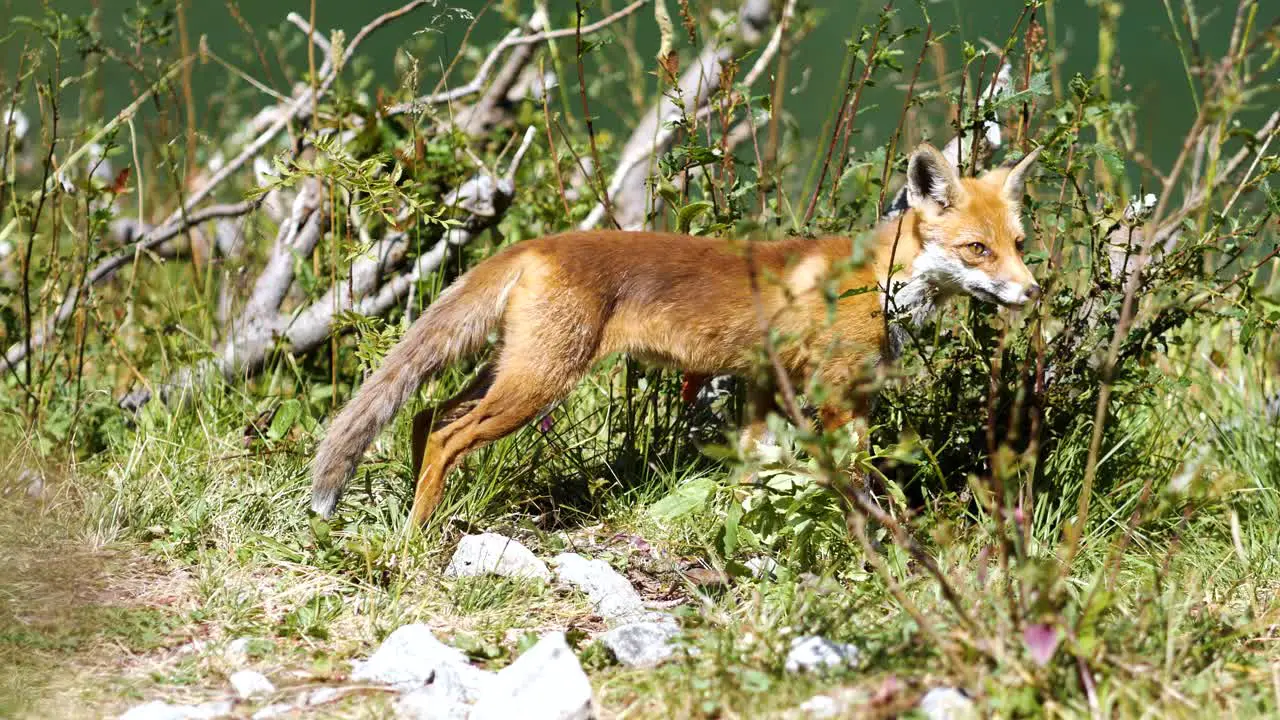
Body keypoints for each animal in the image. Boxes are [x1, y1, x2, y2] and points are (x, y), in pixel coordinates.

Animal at [307, 141, 1039, 520]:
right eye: (977, 249)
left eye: (1020, 244)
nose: (1033, 291)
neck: (880, 284)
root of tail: (537, 243)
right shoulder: (835, 398)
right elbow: (857, 484)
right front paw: (873, 544)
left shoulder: (766, 387)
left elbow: (752, 474)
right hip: (538, 384)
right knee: (447, 437)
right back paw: (419, 533)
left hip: (510, 371)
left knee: (424, 417)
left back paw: (413, 510)